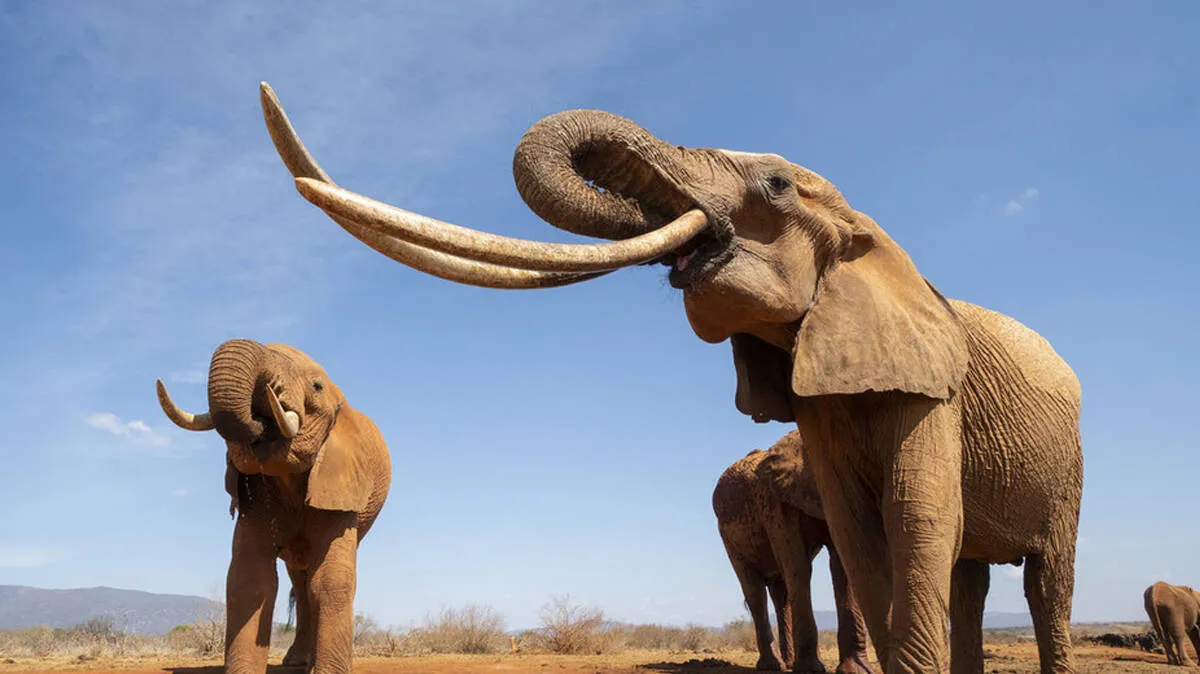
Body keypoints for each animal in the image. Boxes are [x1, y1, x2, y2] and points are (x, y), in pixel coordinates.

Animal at [156, 339, 392, 674]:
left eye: (316, 386)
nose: (261, 418)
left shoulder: (340, 488)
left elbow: (331, 579)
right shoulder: (255, 495)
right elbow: (250, 579)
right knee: (299, 581)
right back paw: (297, 662)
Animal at [714, 431, 872, 673]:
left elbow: (842, 563)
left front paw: (856, 670)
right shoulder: (775, 504)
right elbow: (797, 564)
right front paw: (810, 669)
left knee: (782, 595)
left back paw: (789, 663)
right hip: (728, 536)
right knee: (755, 591)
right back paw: (773, 666)